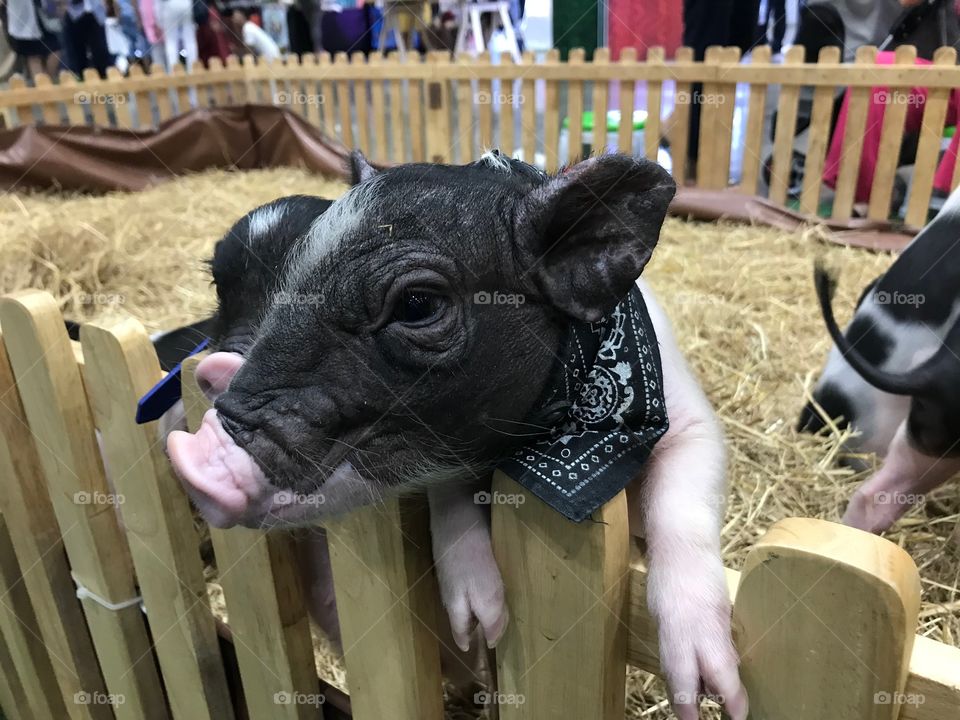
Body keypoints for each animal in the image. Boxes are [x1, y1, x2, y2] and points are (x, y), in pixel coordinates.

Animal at [168, 152, 748, 720]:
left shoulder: (690, 420)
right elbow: (449, 499)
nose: (192, 448)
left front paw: (712, 695)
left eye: (417, 305)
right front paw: (479, 624)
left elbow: (682, 504)